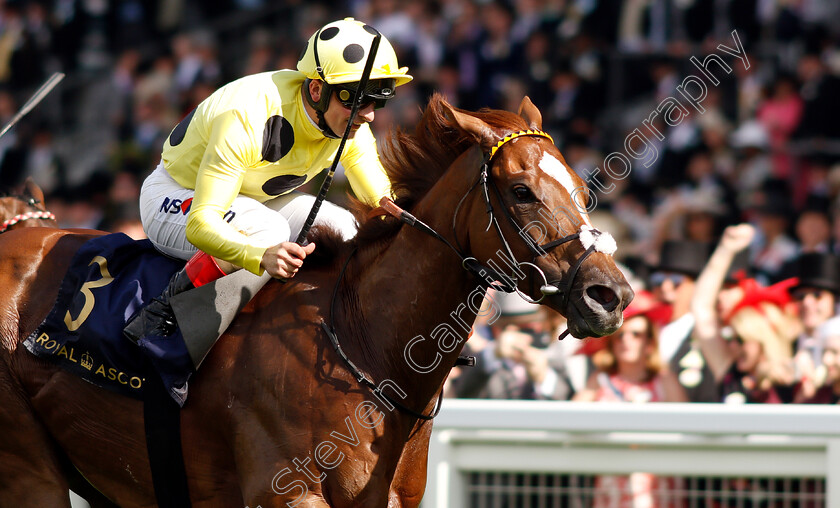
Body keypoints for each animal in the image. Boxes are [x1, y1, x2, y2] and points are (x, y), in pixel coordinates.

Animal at [0, 96, 632, 508]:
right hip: (30, 472)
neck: (363, 341)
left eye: (580, 189)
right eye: (522, 191)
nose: (611, 295)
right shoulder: (287, 492)